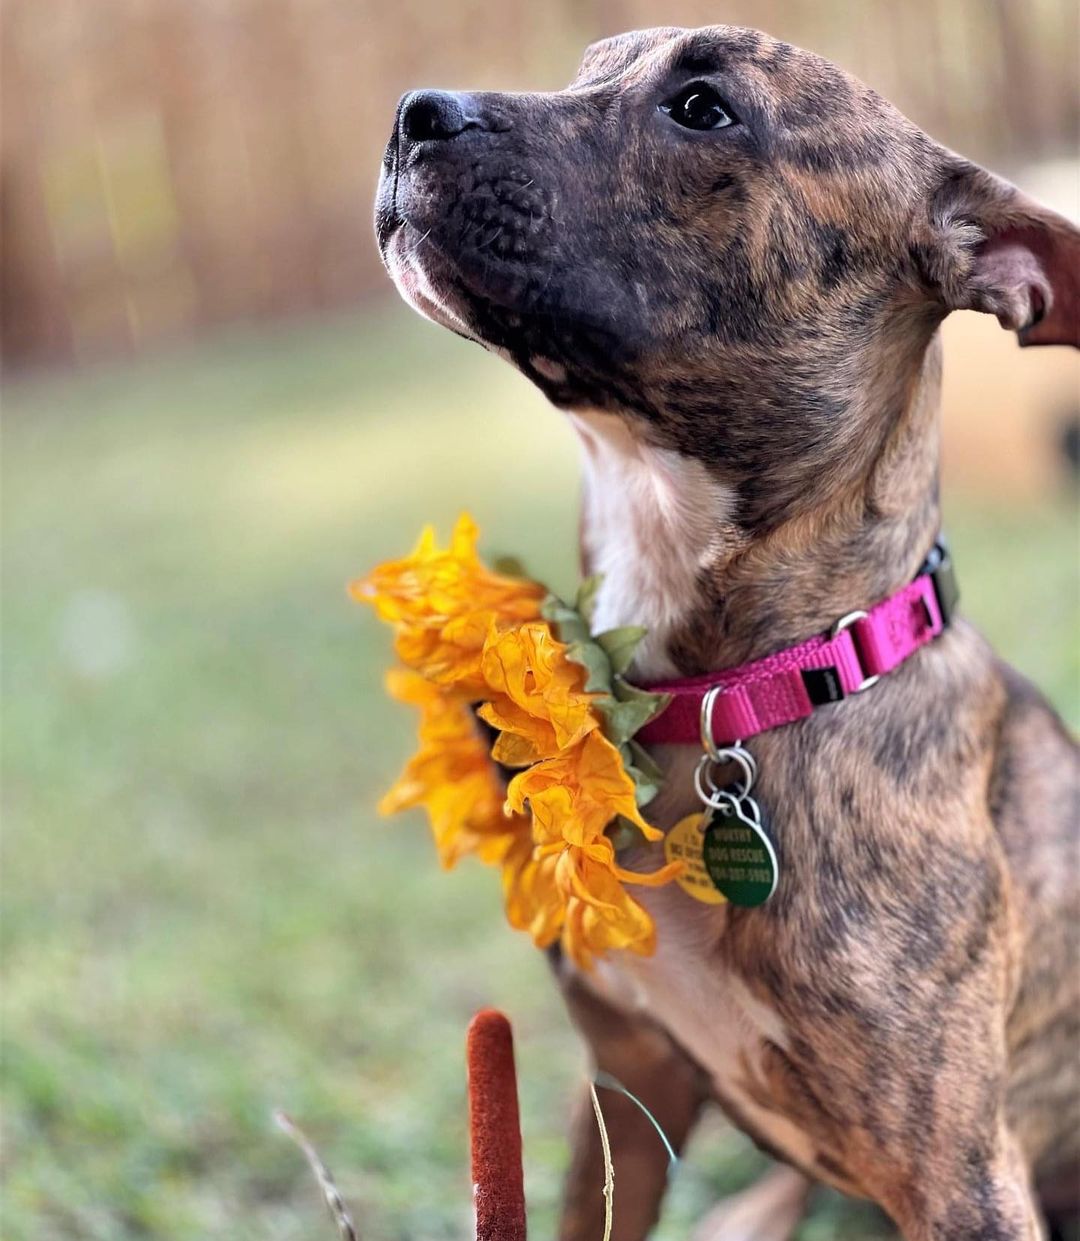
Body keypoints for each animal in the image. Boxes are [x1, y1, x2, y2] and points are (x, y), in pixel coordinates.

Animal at [374, 21, 1080, 1241]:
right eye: (585, 68)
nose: (412, 114)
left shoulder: (964, 1176)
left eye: (704, 108)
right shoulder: (627, 1085)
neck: (741, 688)